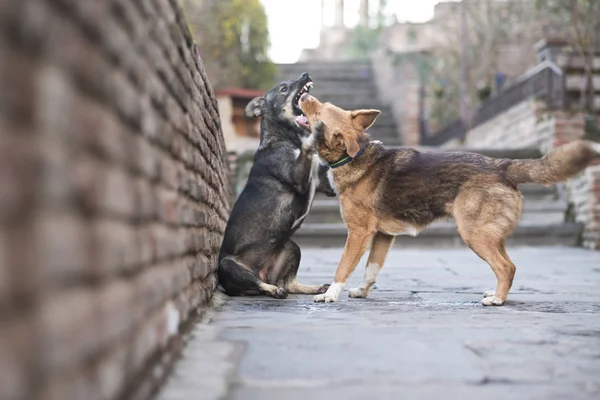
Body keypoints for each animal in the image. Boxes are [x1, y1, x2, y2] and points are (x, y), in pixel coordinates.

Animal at [218, 73, 336, 298]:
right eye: (283, 89)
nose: (305, 75)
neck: (287, 138)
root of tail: (263, 272)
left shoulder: (326, 183)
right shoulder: (298, 178)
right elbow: (308, 146)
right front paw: (315, 134)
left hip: (291, 247)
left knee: (291, 283)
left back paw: (313, 287)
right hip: (230, 266)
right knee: (260, 284)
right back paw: (273, 290)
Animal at [300, 94, 600, 306]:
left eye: (319, 112)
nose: (303, 94)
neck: (355, 156)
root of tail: (502, 166)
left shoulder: (358, 233)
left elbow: (343, 266)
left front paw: (330, 294)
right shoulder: (383, 236)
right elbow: (371, 269)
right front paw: (362, 291)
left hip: (473, 233)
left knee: (505, 266)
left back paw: (498, 300)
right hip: (490, 235)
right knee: (510, 266)